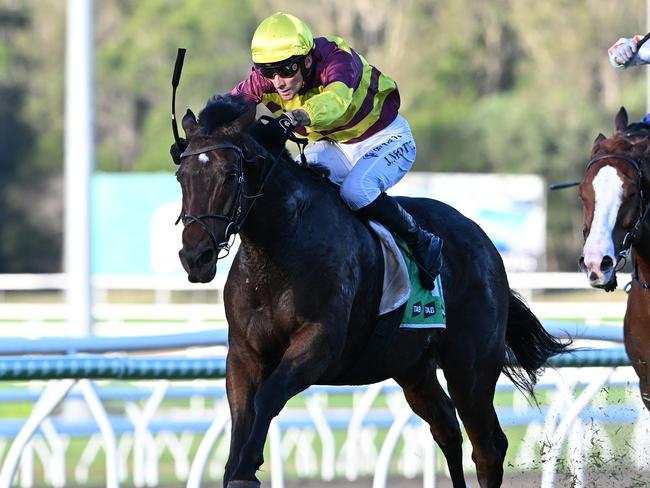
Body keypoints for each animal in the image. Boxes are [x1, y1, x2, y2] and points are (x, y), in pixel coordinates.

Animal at [172, 93, 568, 486]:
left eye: (230, 175)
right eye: (181, 176)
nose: (195, 256)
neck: (280, 245)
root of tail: (485, 242)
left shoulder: (319, 343)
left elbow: (267, 397)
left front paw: (247, 470)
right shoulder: (244, 352)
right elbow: (241, 414)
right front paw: (237, 468)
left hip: (470, 367)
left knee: (488, 447)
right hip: (413, 368)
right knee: (447, 431)